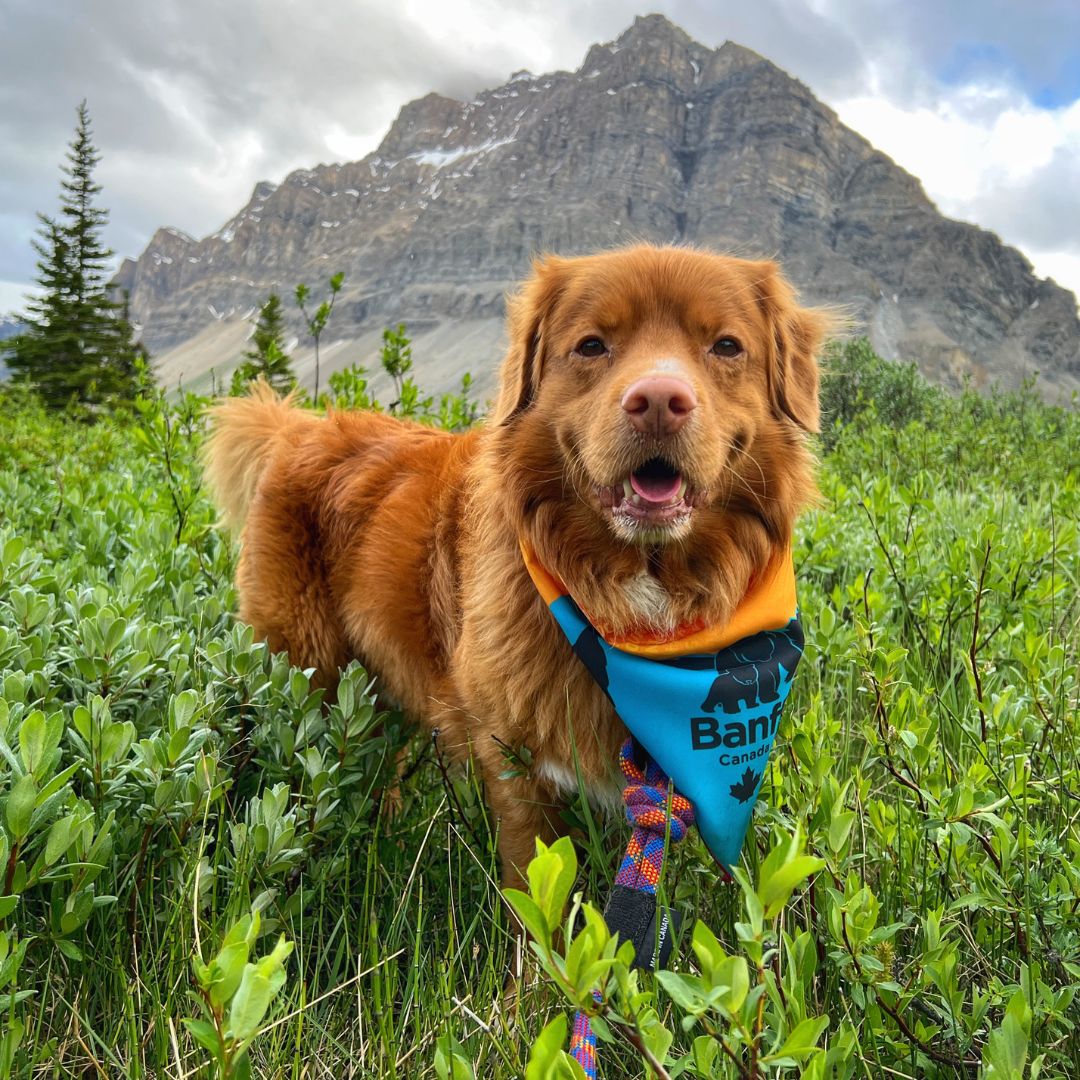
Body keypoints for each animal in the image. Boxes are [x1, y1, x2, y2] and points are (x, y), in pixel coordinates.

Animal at [204, 245, 825, 885]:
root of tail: (300, 426)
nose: (657, 402)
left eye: (726, 346)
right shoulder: (514, 758)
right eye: (592, 345)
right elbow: (536, 877)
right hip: (302, 667)